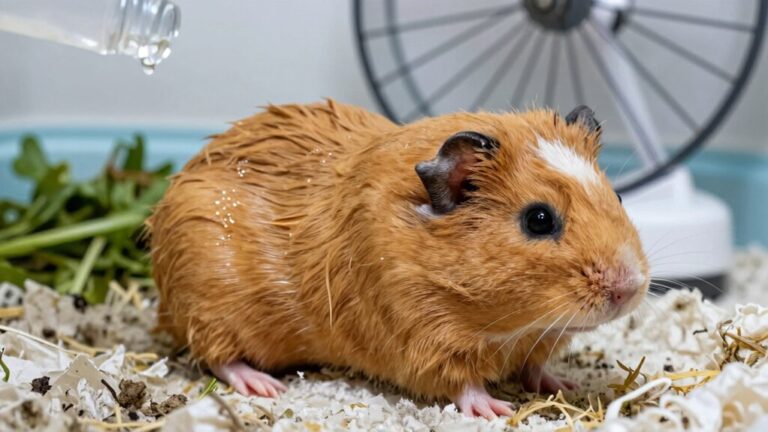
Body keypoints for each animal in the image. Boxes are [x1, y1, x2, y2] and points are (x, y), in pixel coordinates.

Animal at [148, 100, 649, 418]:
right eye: (539, 219)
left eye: (619, 196)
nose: (628, 288)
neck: (509, 329)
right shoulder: (425, 340)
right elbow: (462, 384)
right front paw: (496, 408)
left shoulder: (535, 341)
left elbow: (536, 367)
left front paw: (566, 385)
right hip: (210, 310)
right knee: (219, 358)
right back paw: (265, 386)